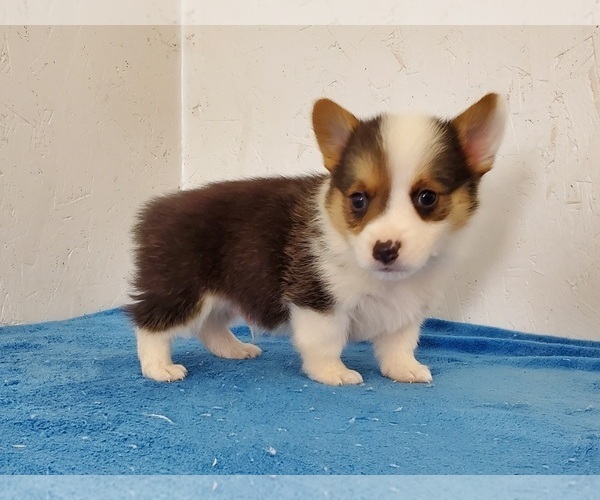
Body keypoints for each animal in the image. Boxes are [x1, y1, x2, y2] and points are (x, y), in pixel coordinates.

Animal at [127, 93, 506, 386]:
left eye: (427, 198)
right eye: (358, 200)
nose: (384, 250)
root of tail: (156, 210)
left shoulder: (407, 309)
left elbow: (399, 344)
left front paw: (405, 370)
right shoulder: (318, 301)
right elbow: (326, 343)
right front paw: (333, 374)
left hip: (225, 291)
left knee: (209, 326)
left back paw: (234, 349)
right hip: (181, 289)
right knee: (150, 323)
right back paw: (159, 368)